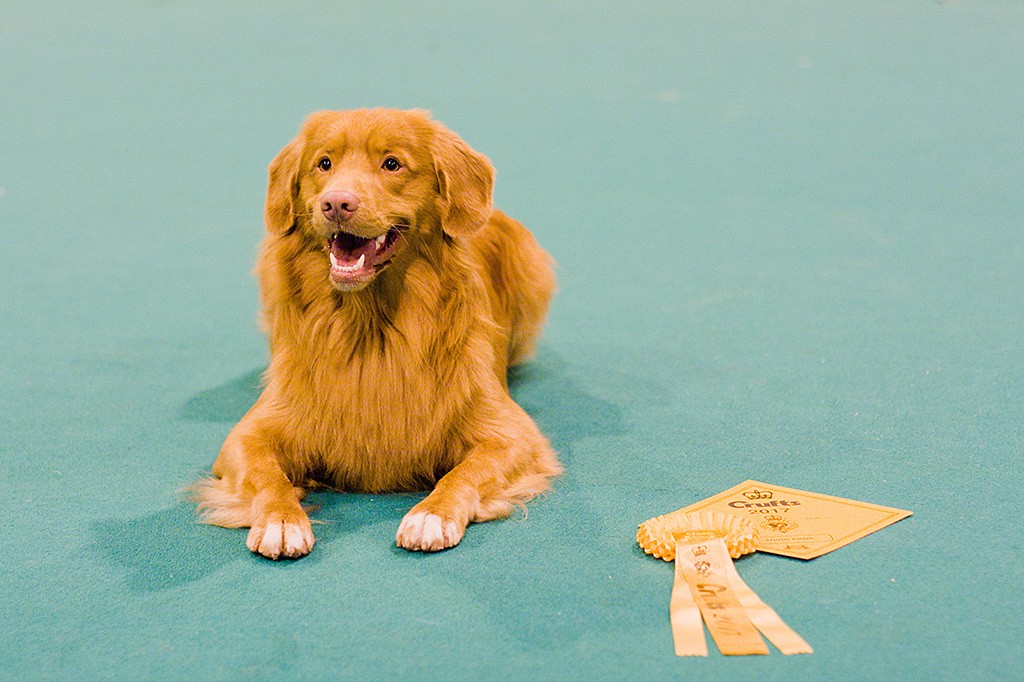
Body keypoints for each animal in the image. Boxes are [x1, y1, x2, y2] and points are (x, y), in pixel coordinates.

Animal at [192, 109, 561, 557]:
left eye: (392, 164)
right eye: (324, 164)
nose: (336, 203)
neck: (370, 326)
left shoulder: (513, 435)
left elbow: (462, 474)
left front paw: (432, 514)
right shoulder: (248, 434)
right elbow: (266, 475)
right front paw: (281, 519)